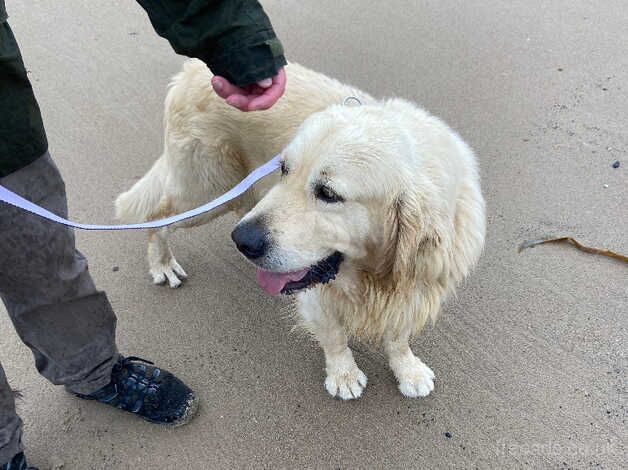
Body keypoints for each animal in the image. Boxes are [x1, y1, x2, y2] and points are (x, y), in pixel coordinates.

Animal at [115, 57, 486, 398]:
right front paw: (344, 375)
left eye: (328, 193)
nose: (243, 241)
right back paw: (163, 264)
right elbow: (334, 336)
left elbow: (398, 335)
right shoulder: (318, 290)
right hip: (208, 190)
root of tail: (192, 68)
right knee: (159, 217)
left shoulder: (416, 282)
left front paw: (408, 369)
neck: (372, 275)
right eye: (284, 169)